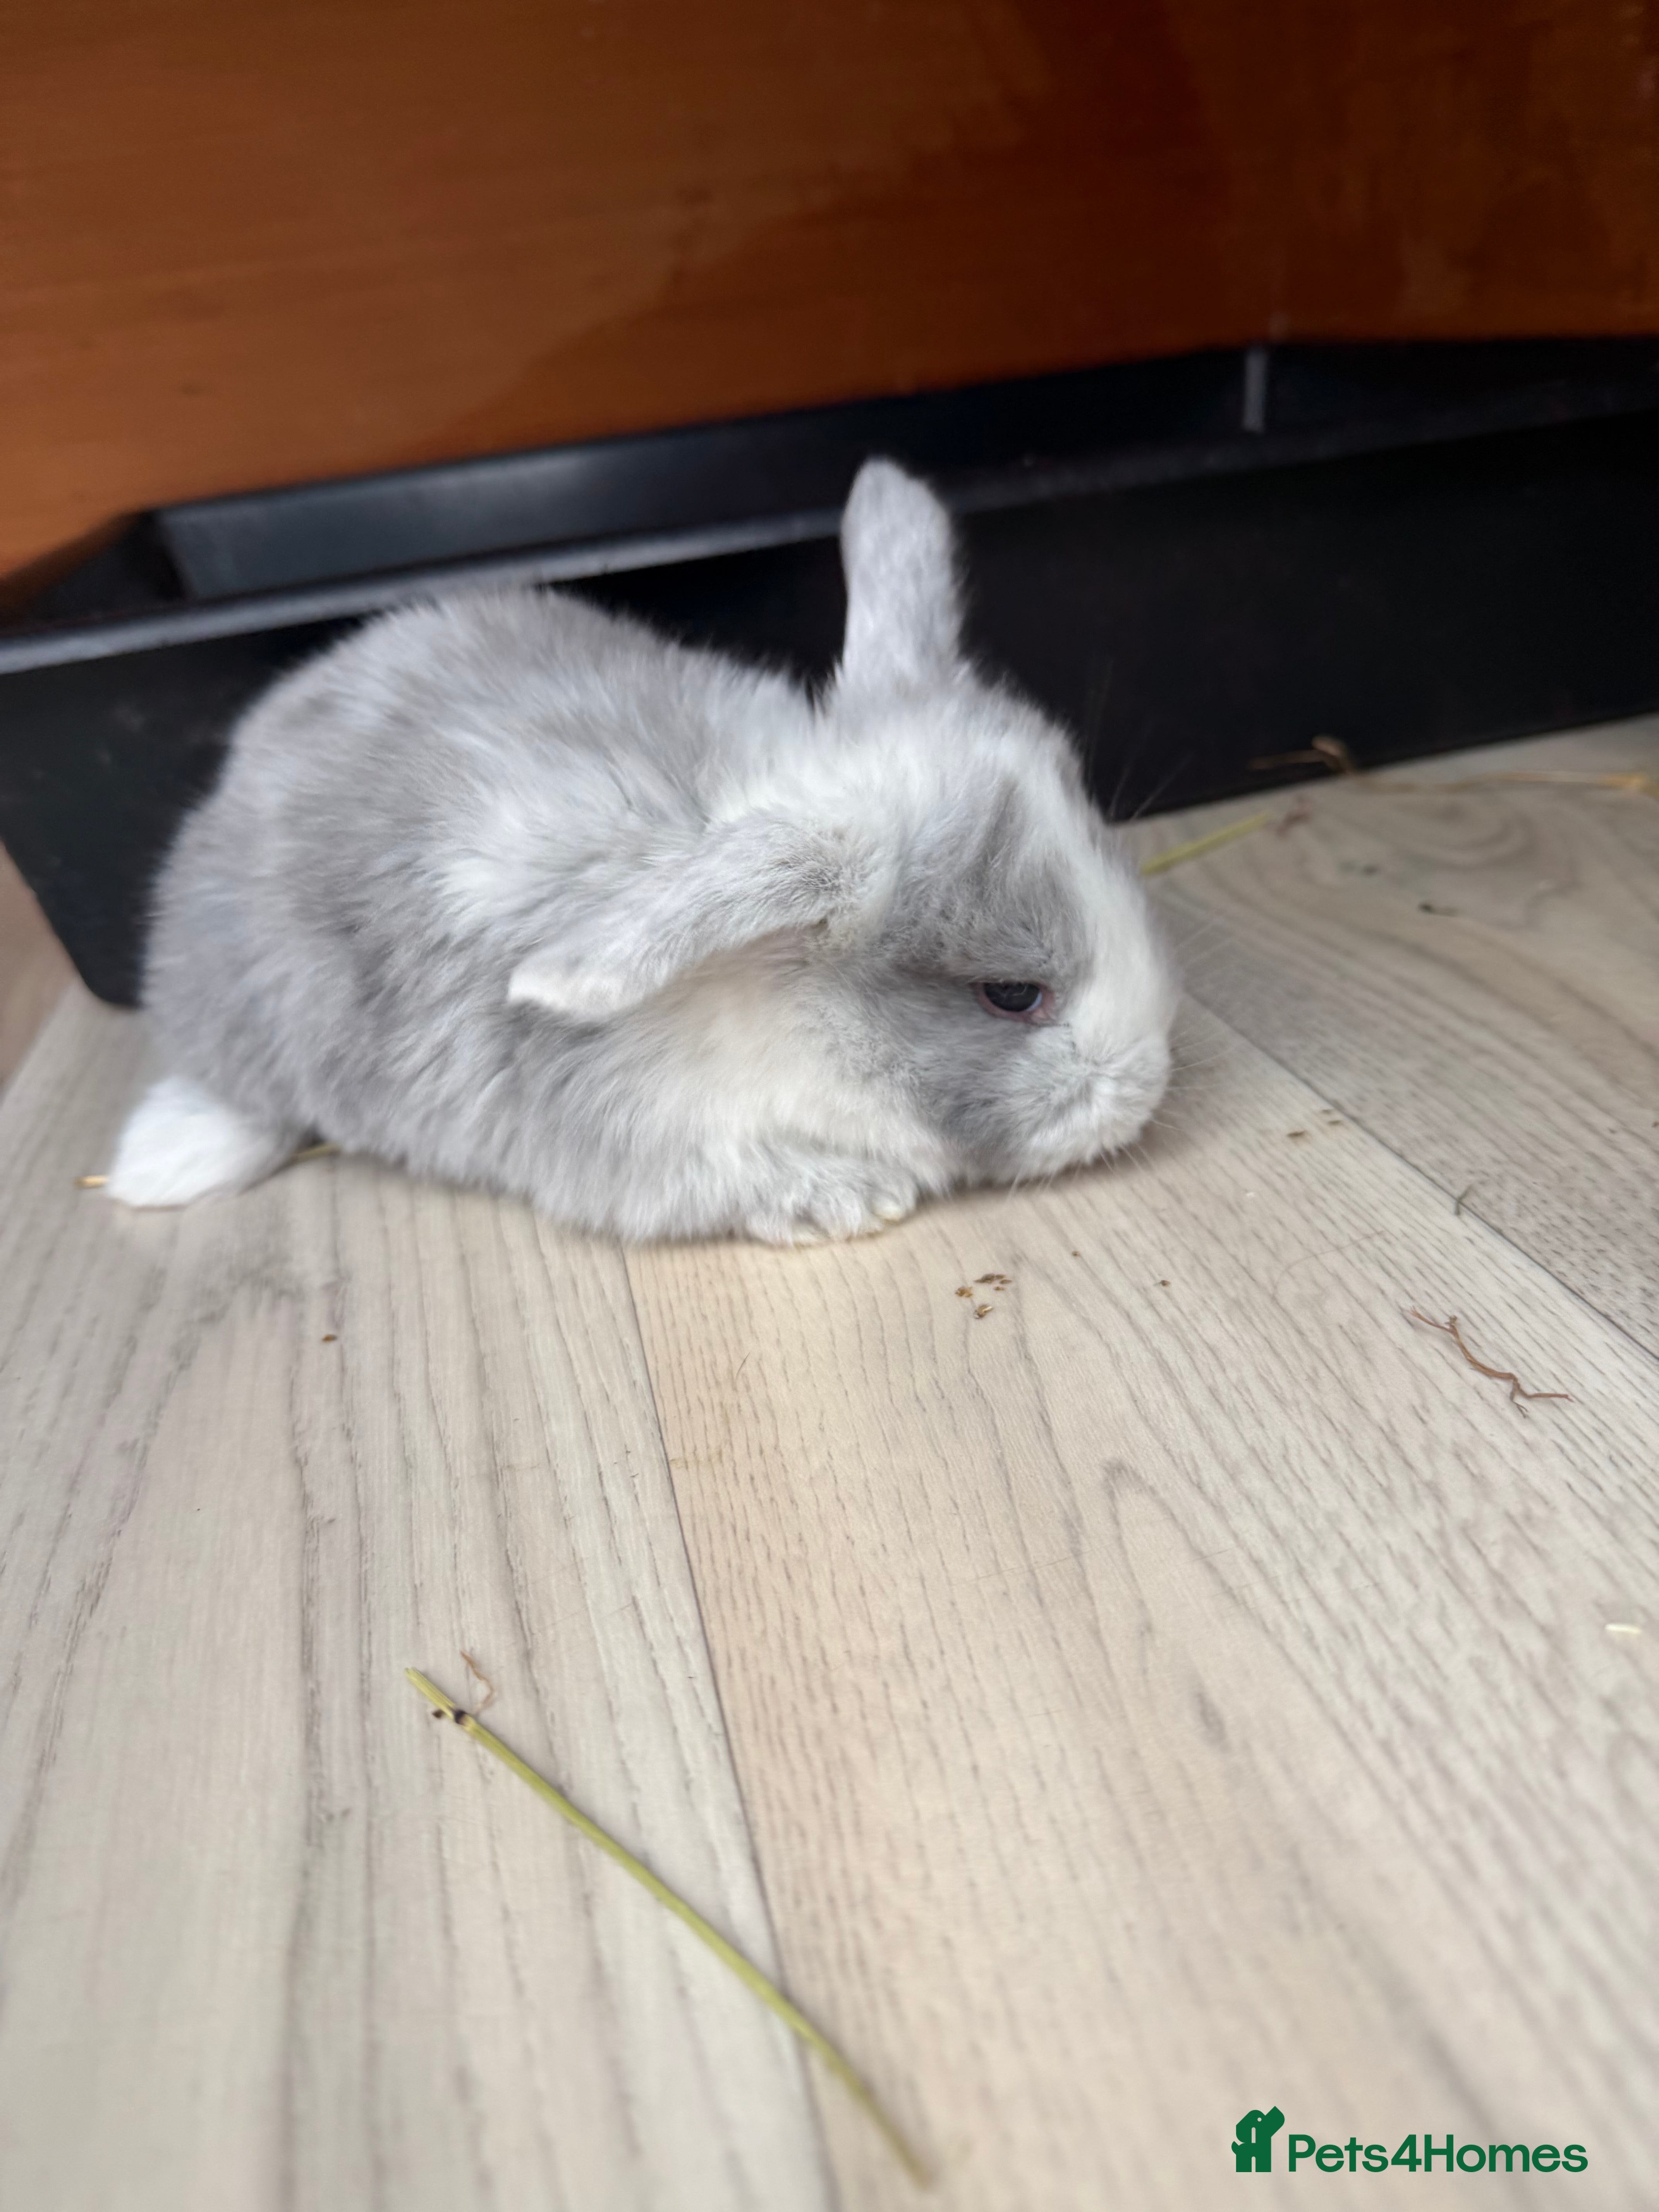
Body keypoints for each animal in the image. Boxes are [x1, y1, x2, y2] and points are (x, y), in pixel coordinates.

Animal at [108, 459, 1178, 1243]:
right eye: (1013, 995)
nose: (1150, 1087)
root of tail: (250, 754)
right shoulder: (630, 1133)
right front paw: (846, 1199)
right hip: (244, 1010)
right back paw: (154, 1170)